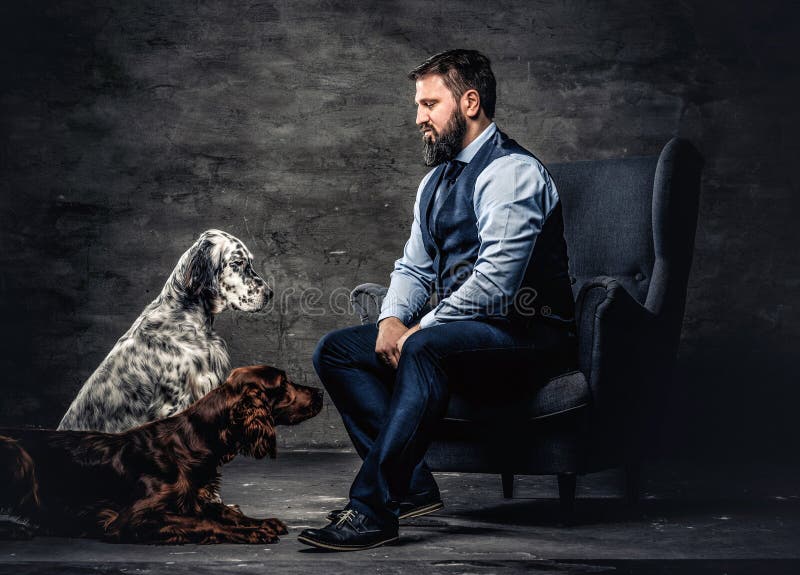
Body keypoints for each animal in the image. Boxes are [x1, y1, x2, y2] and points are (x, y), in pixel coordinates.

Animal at [3, 364, 324, 544]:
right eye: (283, 383)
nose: (321, 393)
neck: (192, 442)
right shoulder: (132, 518)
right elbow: (203, 522)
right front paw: (251, 532)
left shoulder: (194, 498)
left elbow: (224, 511)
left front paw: (259, 521)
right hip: (16, 455)